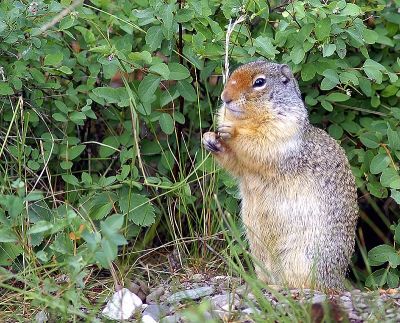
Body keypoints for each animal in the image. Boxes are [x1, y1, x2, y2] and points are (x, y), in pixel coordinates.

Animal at [205, 59, 358, 292]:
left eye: (259, 82)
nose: (225, 97)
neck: (248, 119)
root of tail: (336, 283)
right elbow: (235, 164)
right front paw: (210, 138)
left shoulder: (282, 129)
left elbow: (258, 143)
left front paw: (230, 131)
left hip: (302, 258)